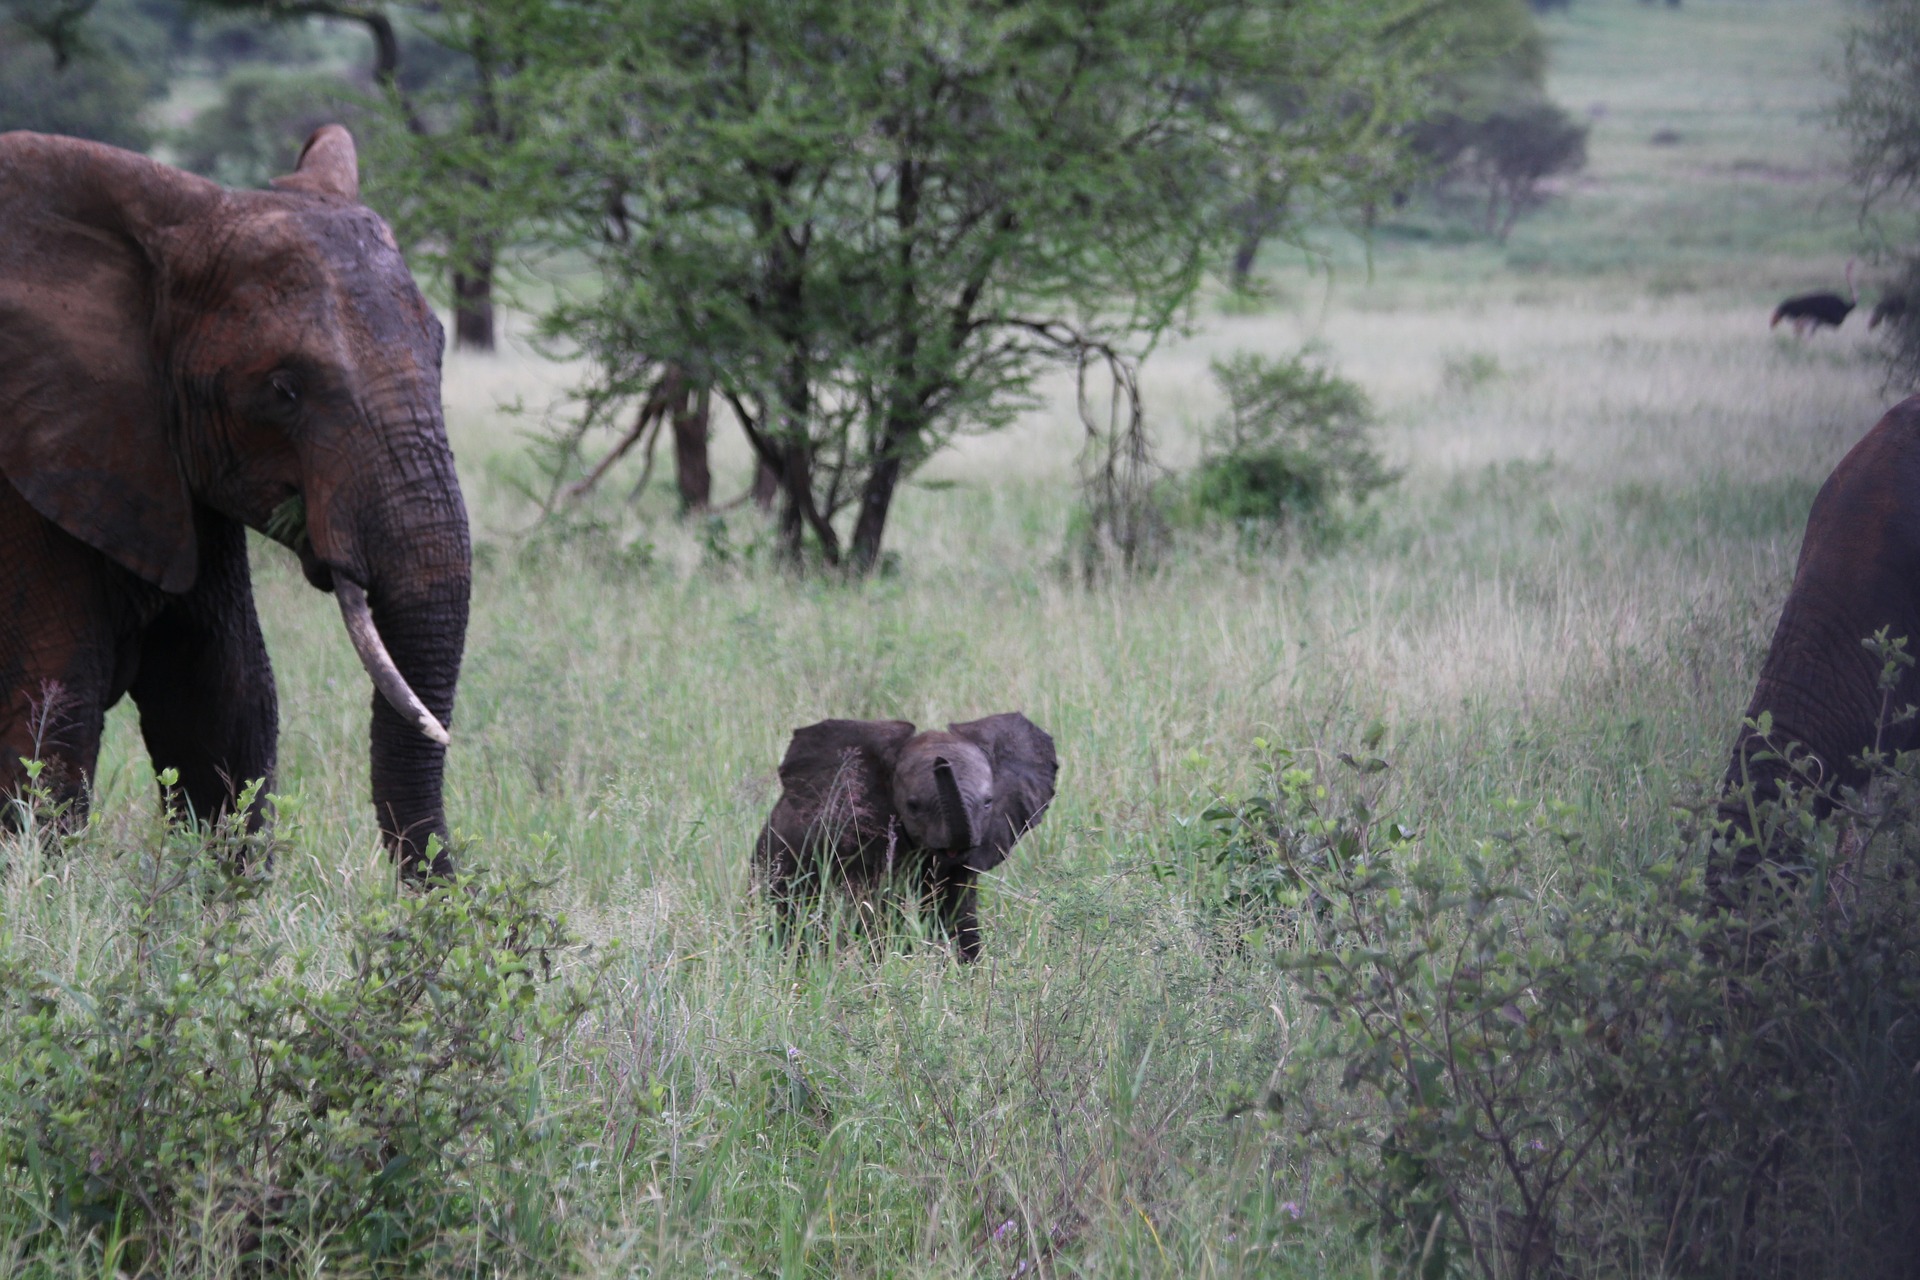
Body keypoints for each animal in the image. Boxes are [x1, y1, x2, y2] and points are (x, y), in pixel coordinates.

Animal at [0, 126, 469, 875]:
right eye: (284, 388)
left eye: (441, 350)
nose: (452, 890)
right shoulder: (25, 479)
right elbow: (52, 710)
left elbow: (225, 698)